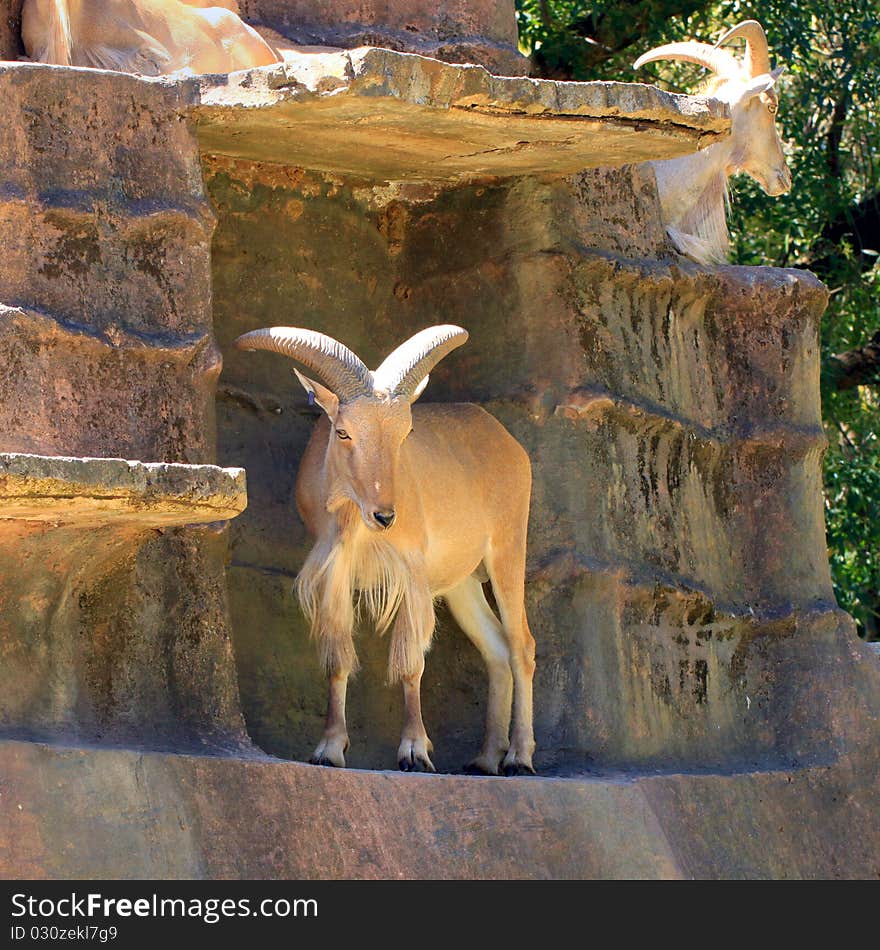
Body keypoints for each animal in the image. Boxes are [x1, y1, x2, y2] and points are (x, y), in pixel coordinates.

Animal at [234, 326, 536, 772]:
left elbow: (410, 662)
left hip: (507, 548)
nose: (385, 516)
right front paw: (328, 749)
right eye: (343, 431)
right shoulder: (334, 573)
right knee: (496, 649)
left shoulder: (410, 572)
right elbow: (337, 659)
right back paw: (484, 759)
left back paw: (518, 757)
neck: (354, 521)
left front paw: (414, 750)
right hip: (461, 582)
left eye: (405, 433)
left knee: (521, 646)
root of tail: (507, 441)